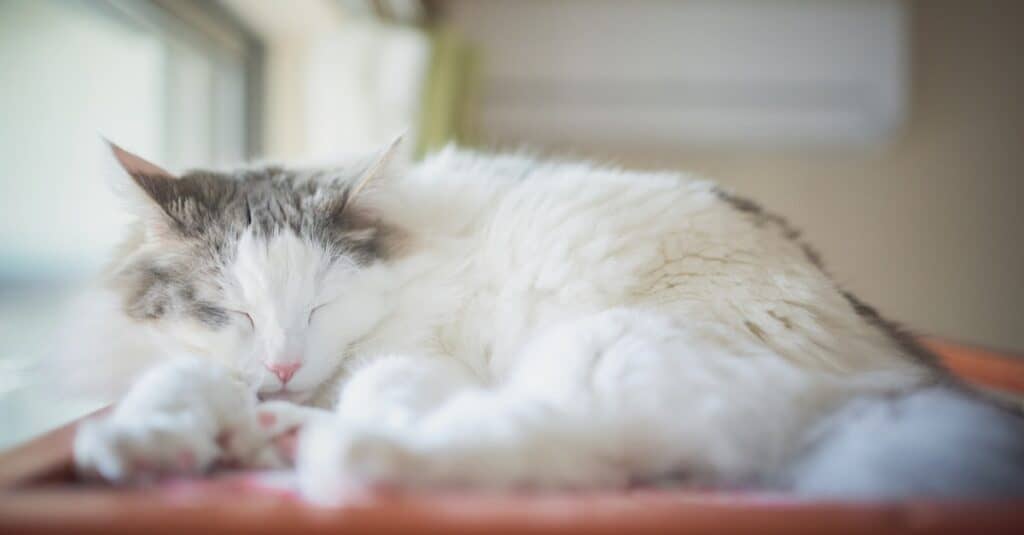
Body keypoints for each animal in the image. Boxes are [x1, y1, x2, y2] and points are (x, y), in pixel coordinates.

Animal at [66, 137, 1024, 500]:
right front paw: (137, 445)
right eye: (228, 309)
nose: (284, 366)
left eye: (318, 304)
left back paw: (340, 456)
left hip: (602, 347)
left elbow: (380, 384)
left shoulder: (406, 358)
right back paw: (277, 435)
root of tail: (891, 366)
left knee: (560, 449)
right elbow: (176, 382)